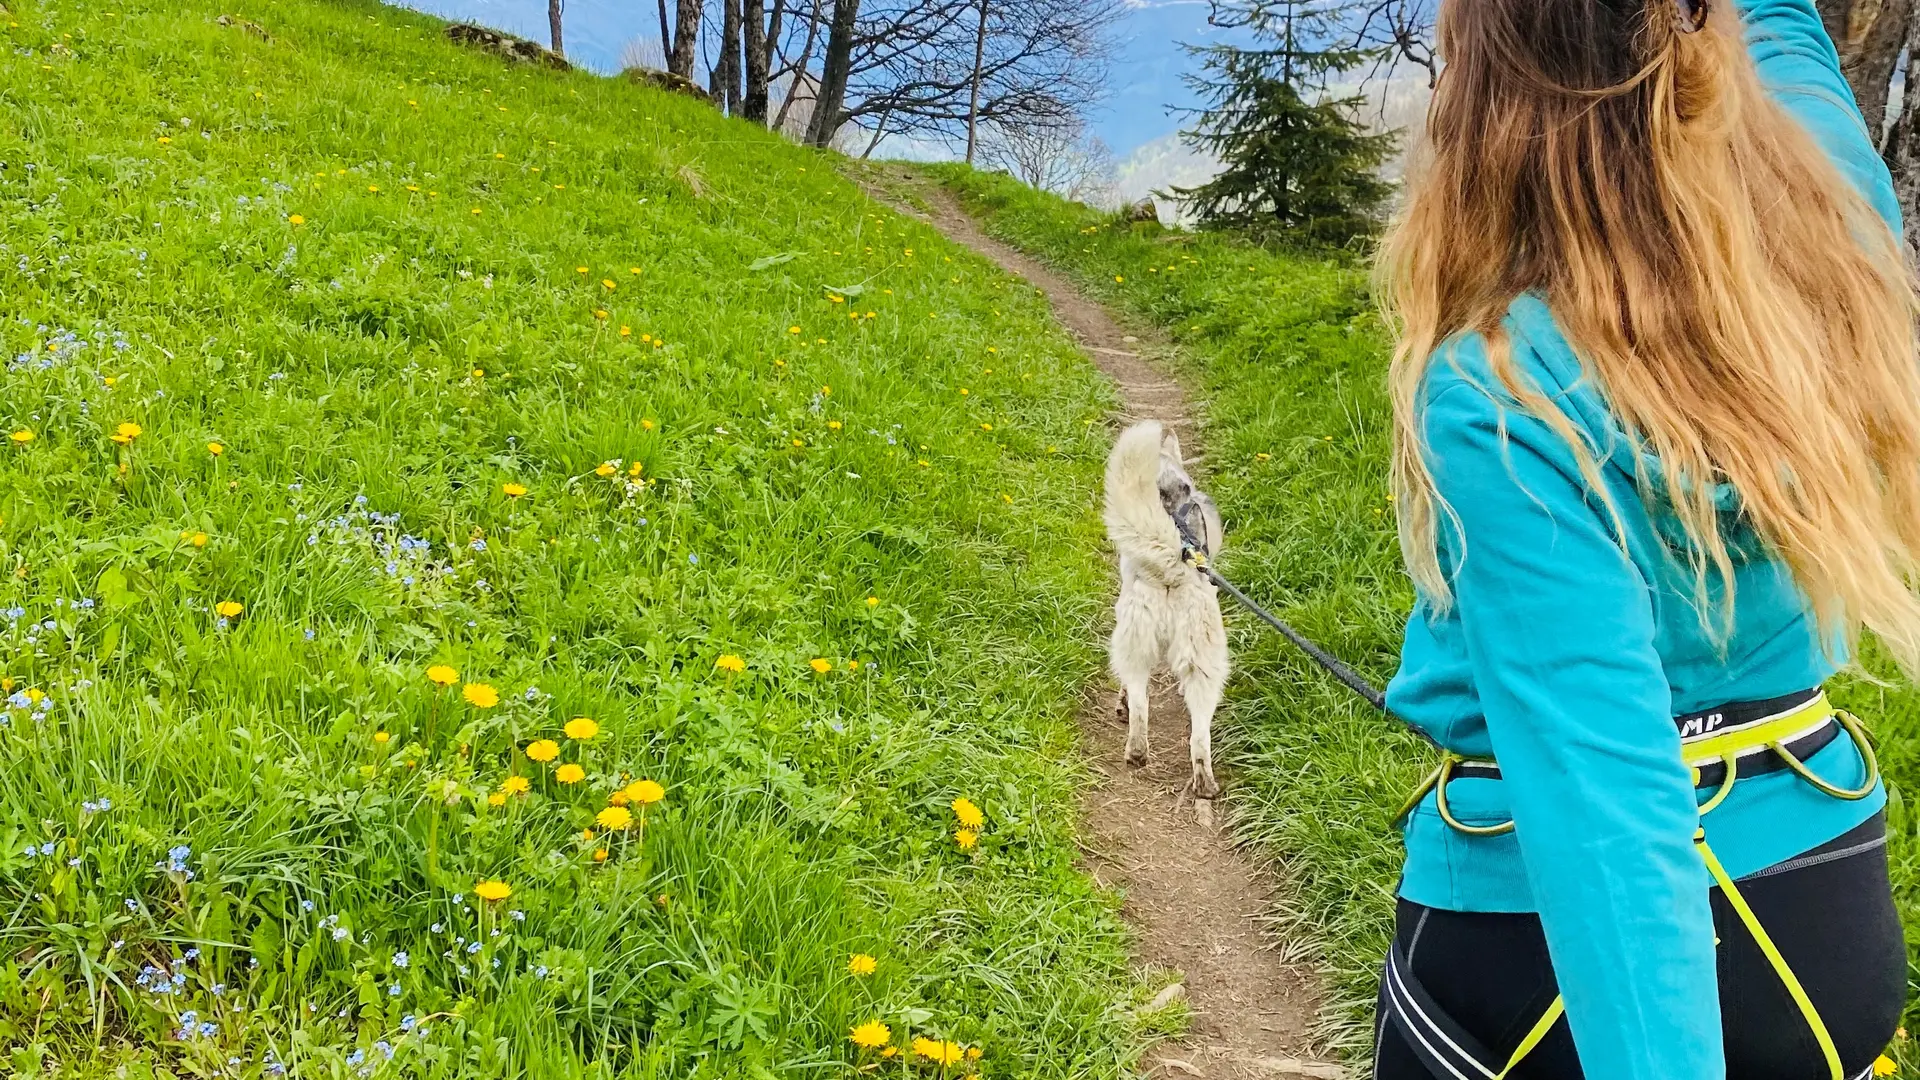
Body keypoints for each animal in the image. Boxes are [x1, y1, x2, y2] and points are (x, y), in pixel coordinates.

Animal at [1105, 420, 1221, 799]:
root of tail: (1176, 565)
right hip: (1203, 663)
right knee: (1198, 735)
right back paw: (1202, 782)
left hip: (1134, 642)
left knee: (1140, 702)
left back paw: (1136, 750)